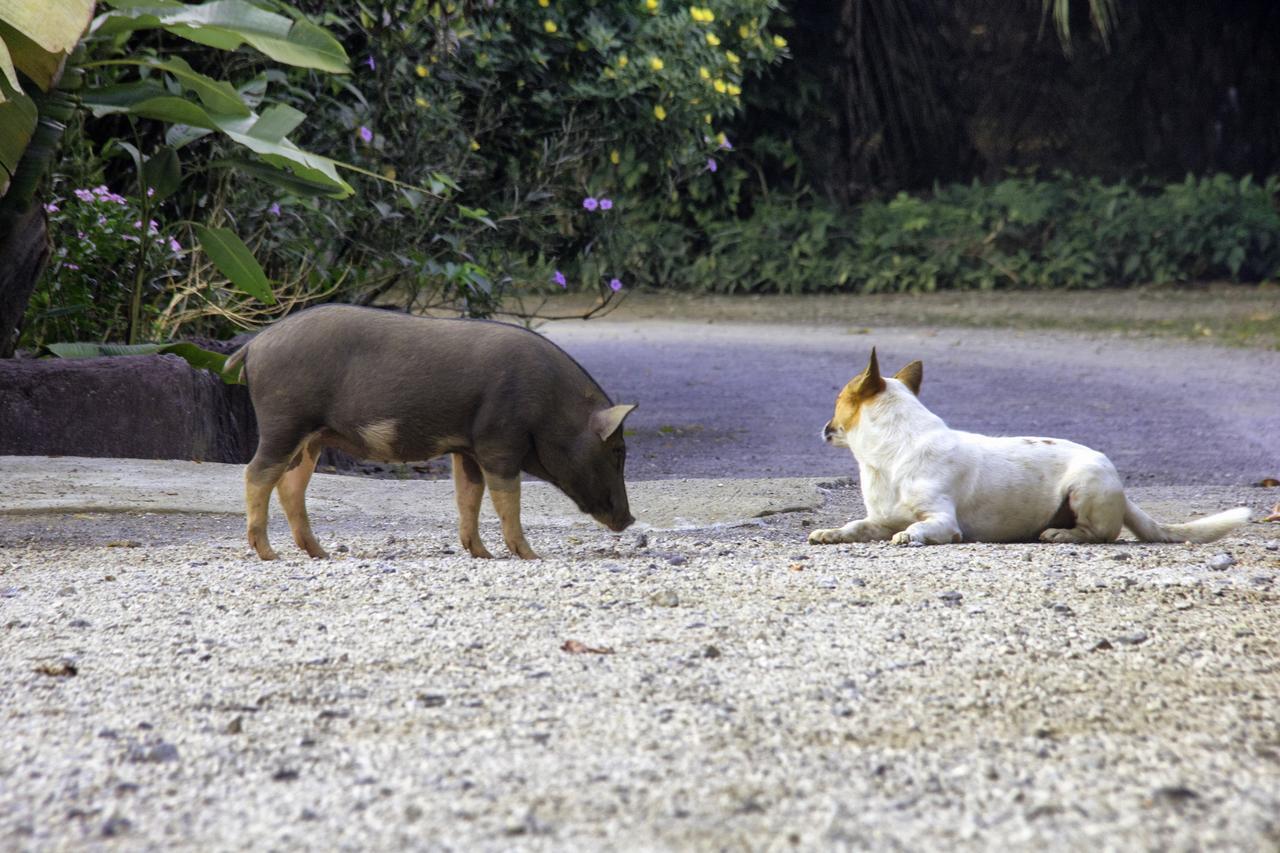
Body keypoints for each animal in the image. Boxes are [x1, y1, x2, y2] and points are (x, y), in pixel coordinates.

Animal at [226, 303, 640, 558]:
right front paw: (531, 556)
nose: (630, 519)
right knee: (256, 473)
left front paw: (483, 554)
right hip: (284, 420)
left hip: (310, 437)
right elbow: (507, 500)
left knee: (290, 485)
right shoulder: (499, 441)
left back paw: (321, 554)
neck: (552, 407)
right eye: (617, 450)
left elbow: (468, 497)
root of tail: (255, 344)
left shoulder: (467, 448)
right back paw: (269, 554)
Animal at [808, 348, 1249, 540]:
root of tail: (1122, 489)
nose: (823, 426)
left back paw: (1064, 535)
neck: (889, 455)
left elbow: (920, 529)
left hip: (1084, 488)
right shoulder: (881, 519)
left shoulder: (942, 521)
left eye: (838, 399)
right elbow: (857, 525)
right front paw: (834, 533)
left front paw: (911, 537)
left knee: (1100, 534)